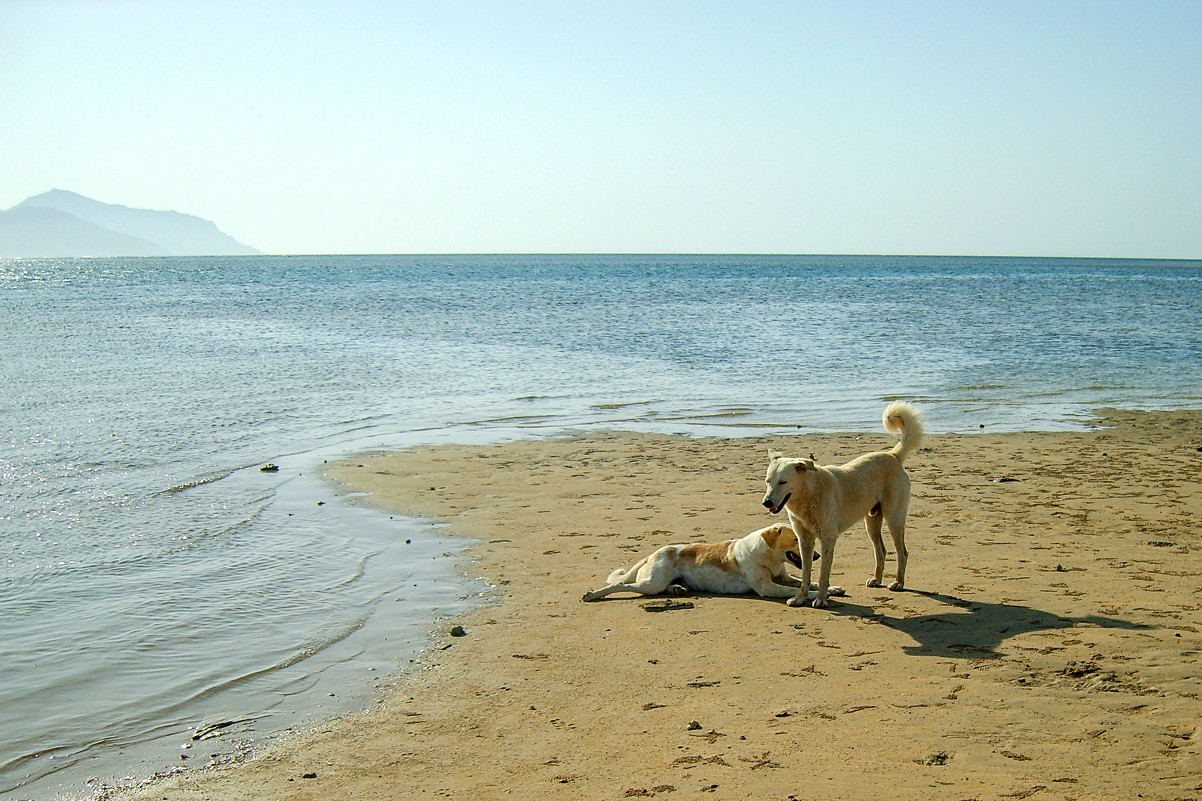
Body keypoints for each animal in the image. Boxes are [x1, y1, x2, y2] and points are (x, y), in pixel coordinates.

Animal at [764, 401, 923, 608]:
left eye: (782, 482)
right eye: (768, 481)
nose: (766, 502)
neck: (809, 494)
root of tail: (892, 455)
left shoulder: (828, 539)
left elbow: (823, 574)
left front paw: (821, 599)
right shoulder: (805, 540)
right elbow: (806, 573)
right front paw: (800, 597)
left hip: (894, 519)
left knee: (902, 552)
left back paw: (898, 583)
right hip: (872, 522)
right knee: (881, 550)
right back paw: (876, 579)